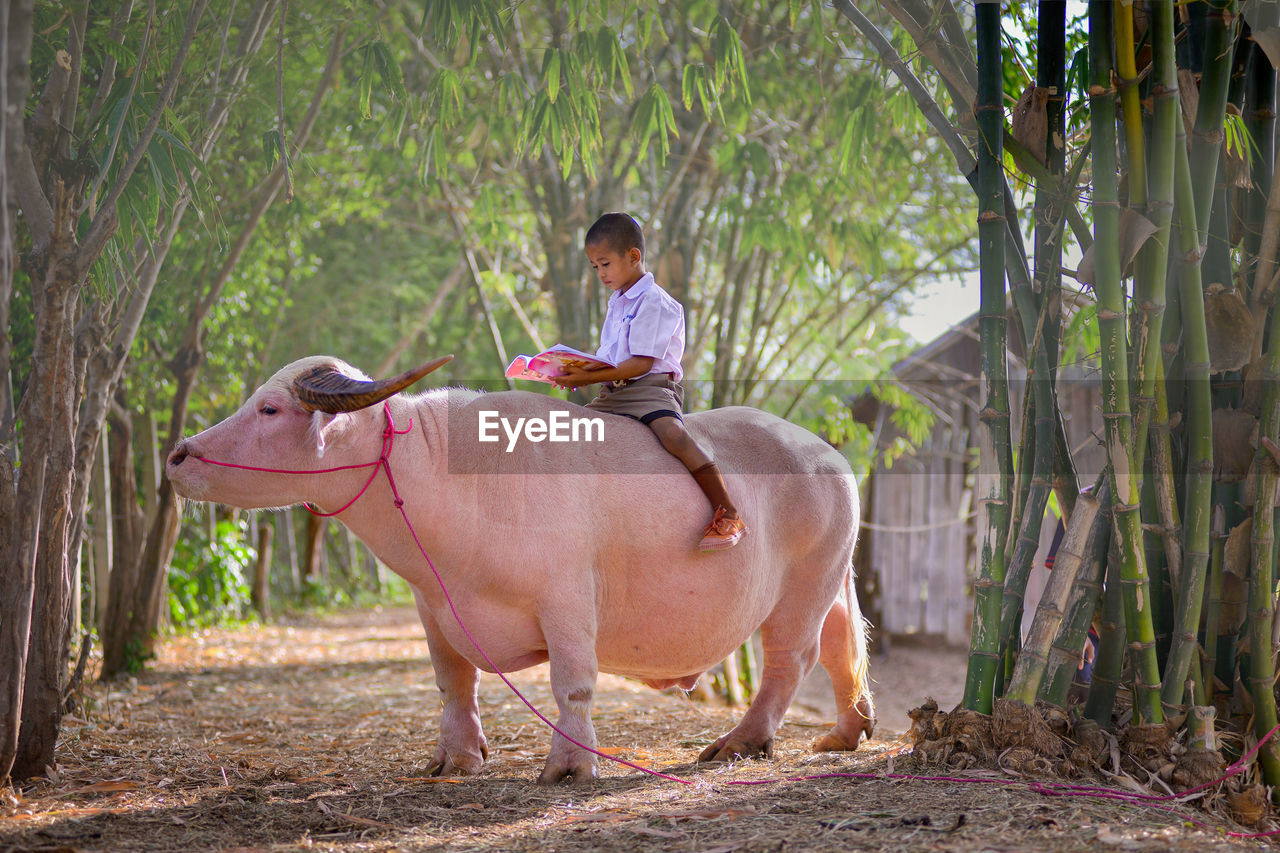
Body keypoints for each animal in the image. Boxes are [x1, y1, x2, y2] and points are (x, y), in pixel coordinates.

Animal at [165, 356, 875, 778]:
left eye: (270, 409)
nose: (177, 457)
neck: (455, 478)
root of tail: (832, 458)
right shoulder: (432, 604)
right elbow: (454, 682)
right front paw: (455, 757)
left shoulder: (566, 602)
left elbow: (572, 684)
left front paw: (570, 765)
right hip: (832, 582)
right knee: (842, 646)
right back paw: (845, 733)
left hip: (802, 587)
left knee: (790, 660)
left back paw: (742, 741)